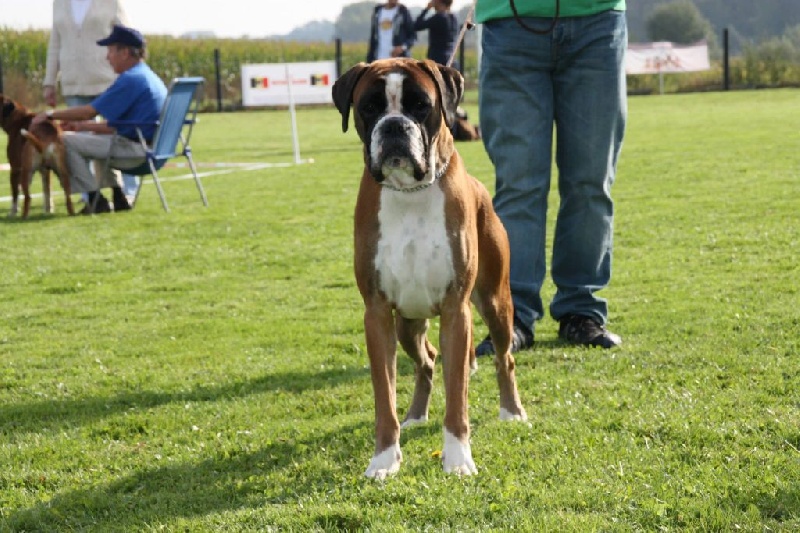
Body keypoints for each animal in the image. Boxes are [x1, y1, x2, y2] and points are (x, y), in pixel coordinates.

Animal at [332, 59, 528, 478]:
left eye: (421, 105)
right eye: (369, 107)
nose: (394, 125)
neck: (410, 193)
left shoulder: (456, 310)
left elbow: (457, 397)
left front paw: (457, 459)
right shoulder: (377, 313)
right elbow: (384, 396)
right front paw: (384, 459)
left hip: (495, 304)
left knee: (504, 358)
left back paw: (512, 411)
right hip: (408, 323)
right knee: (427, 362)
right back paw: (415, 415)